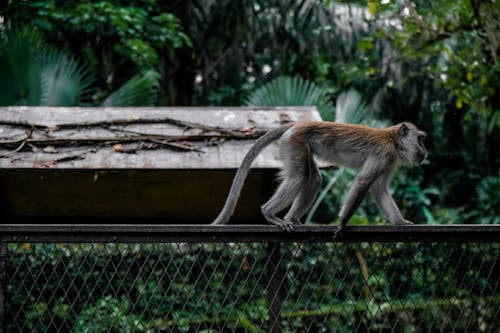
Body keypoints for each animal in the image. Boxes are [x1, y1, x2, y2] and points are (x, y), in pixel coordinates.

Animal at [211, 120, 426, 237]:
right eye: (421, 139)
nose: (425, 152)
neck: (393, 140)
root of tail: (297, 124)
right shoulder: (384, 154)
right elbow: (364, 181)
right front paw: (342, 223)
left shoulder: (390, 161)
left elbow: (378, 188)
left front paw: (400, 222)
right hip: (294, 142)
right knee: (299, 178)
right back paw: (269, 214)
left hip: (302, 145)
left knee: (313, 179)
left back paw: (292, 218)